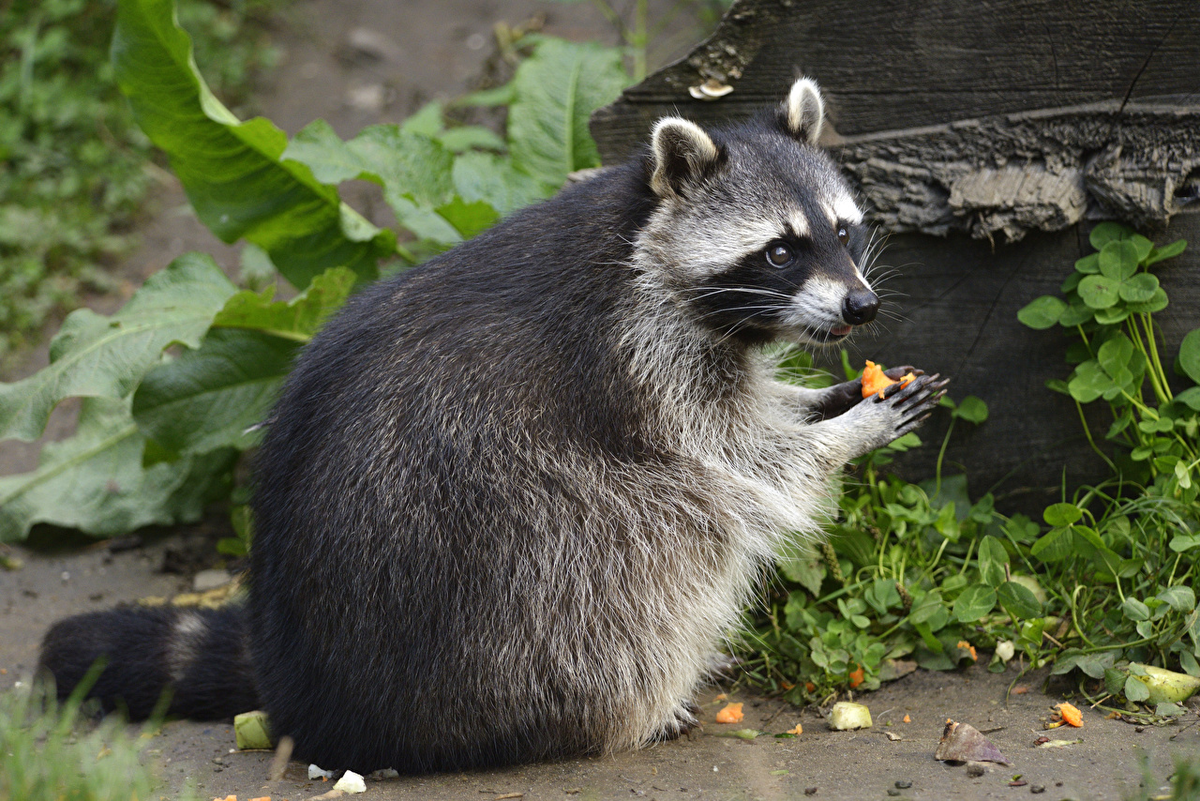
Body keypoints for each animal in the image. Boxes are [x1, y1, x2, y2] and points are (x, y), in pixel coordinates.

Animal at [39, 77, 945, 772]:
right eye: (781, 251)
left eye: (841, 229)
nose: (861, 305)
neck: (640, 231)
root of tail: (306, 691)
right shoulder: (637, 361)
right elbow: (738, 458)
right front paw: (842, 433)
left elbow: (756, 415)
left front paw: (825, 400)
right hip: (504, 571)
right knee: (645, 541)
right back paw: (635, 703)